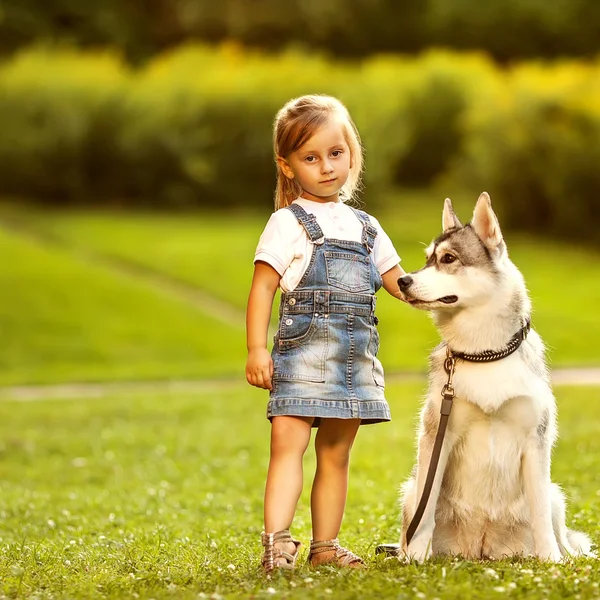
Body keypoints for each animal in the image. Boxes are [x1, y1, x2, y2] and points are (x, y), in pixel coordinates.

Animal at [396, 193, 592, 564]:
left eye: (448, 259)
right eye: (427, 260)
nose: (402, 281)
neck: (483, 353)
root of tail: (481, 547)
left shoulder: (535, 442)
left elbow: (540, 515)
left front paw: (550, 560)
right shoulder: (437, 436)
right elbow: (424, 515)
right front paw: (415, 557)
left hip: (555, 495)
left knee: (560, 530)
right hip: (412, 487)